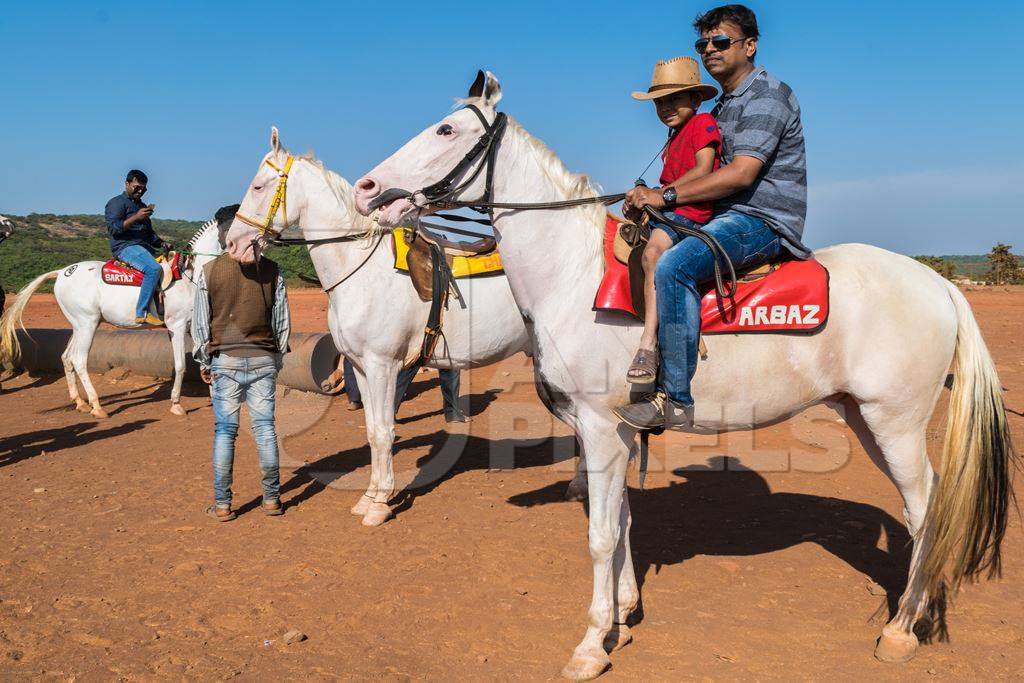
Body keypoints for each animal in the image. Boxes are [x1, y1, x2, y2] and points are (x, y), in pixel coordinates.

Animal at [0, 216, 226, 417]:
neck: (189, 276)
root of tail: (63, 271)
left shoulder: (194, 327)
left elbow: (207, 361)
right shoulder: (177, 327)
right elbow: (180, 366)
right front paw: (177, 404)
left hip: (78, 327)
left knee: (66, 357)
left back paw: (80, 402)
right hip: (88, 325)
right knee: (79, 360)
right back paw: (96, 406)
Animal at [221, 129, 532, 528]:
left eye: (258, 186)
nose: (234, 244)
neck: (362, 271)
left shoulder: (384, 366)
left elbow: (385, 432)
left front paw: (380, 504)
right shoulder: (361, 367)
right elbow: (371, 430)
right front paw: (368, 497)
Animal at [354, 72, 1015, 679]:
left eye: (446, 129)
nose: (367, 190)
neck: (572, 274)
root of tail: (939, 285)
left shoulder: (599, 430)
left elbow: (600, 535)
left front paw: (592, 645)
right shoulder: (616, 433)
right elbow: (621, 522)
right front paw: (625, 612)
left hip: (894, 422)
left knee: (927, 509)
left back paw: (901, 629)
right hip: (865, 418)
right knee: (921, 507)